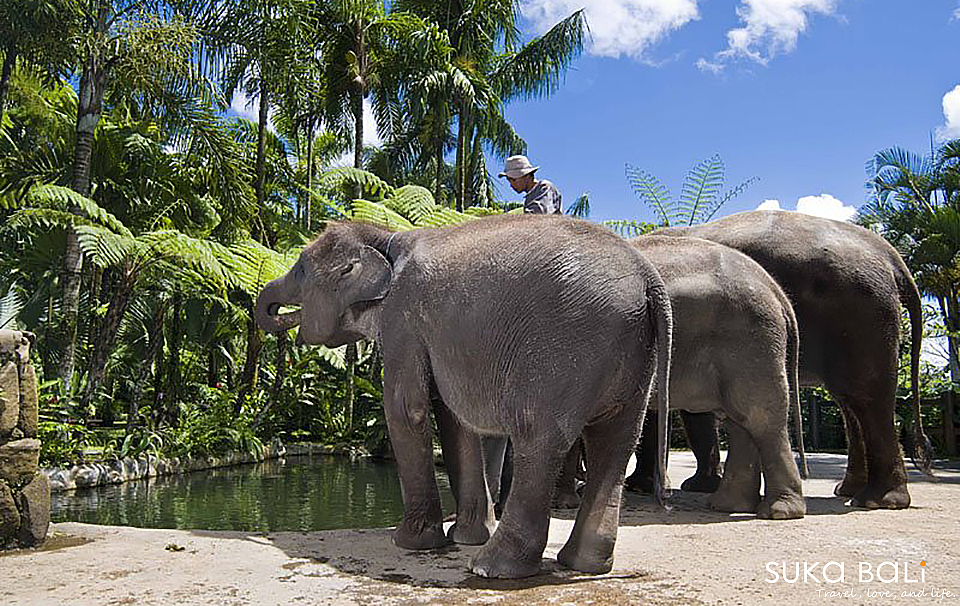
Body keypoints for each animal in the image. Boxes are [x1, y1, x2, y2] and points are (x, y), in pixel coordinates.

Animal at [256, 217, 676, 580]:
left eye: (300, 270)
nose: (273, 307)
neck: (385, 237)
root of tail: (648, 277)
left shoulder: (402, 321)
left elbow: (407, 410)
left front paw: (411, 543)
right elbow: (452, 417)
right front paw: (464, 537)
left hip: (568, 349)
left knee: (539, 440)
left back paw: (490, 568)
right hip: (635, 353)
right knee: (615, 443)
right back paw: (584, 565)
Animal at [632, 211, 928, 510]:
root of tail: (889, 255)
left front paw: (659, 487)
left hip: (862, 315)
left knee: (868, 399)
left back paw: (877, 500)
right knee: (850, 403)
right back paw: (848, 490)